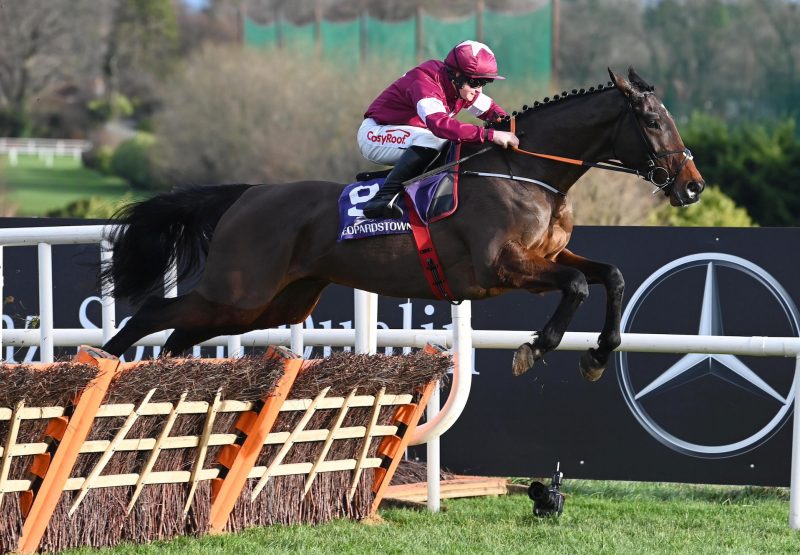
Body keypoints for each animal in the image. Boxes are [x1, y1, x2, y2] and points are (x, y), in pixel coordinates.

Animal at [101, 68, 708, 382]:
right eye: (652, 120)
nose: (693, 185)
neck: (528, 172)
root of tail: (246, 195)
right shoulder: (501, 268)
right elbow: (580, 285)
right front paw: (536, 346)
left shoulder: (550, 258)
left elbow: (611, 276)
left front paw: (600, 354)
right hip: (239, 289)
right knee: (154, 313)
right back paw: (102, 362)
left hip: (269, 304)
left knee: (180, 332)